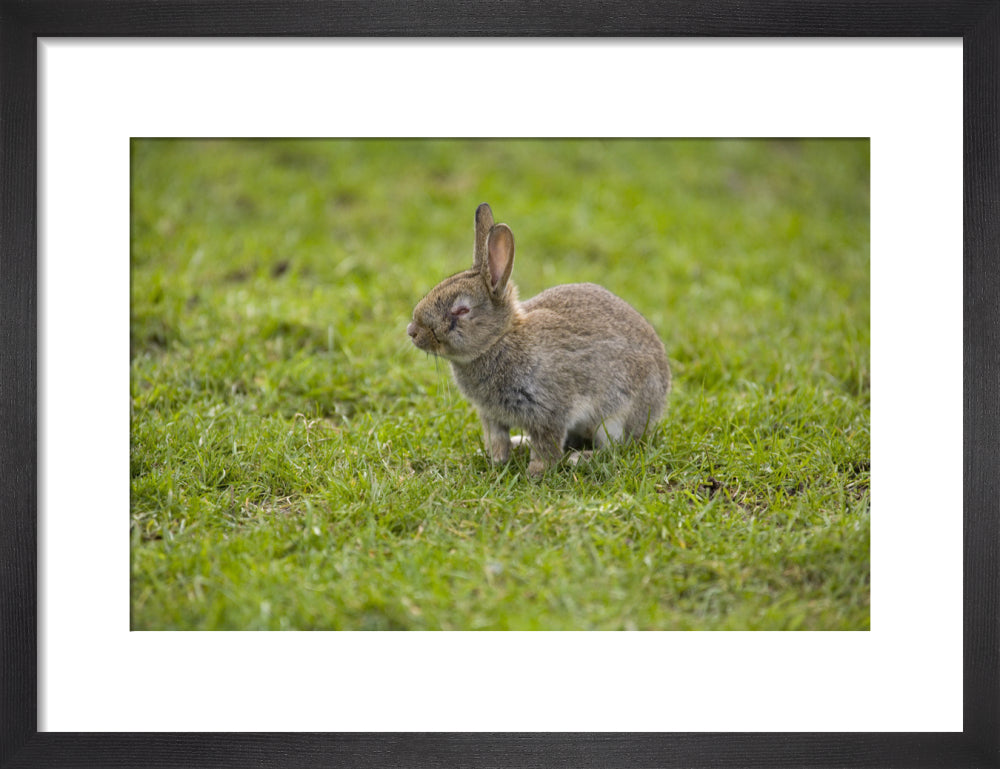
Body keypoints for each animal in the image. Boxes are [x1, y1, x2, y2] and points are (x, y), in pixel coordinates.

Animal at [406, 203, 671, 476]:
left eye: (461, 311)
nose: (412, 331)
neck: (498, 340)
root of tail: (662, 396)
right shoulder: (491, 416)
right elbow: (497, 439)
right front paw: (497, 460)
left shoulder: (549, 410)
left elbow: (547, 443)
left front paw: (536, 472)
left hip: (615, 418)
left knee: (615, 448)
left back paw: (580, 458)